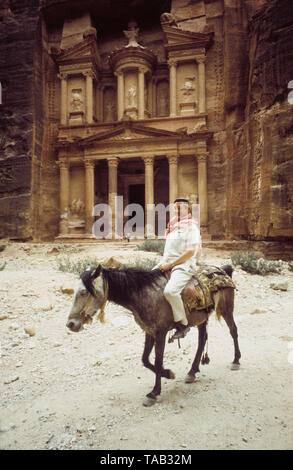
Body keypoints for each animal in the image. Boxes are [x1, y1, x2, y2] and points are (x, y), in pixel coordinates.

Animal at [66, 266, 240, 406]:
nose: (70, 324)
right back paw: (192, 372)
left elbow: (157, 360)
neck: (143, 294)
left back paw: (236, 361)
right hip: (201, 319)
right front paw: (168, 374)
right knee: (202, 340)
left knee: (233, 331)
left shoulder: (160, 333)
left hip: (226, 309)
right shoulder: (149, 331)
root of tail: (224, 269)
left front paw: (154, 392)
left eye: (83, 292)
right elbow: (145, 360)